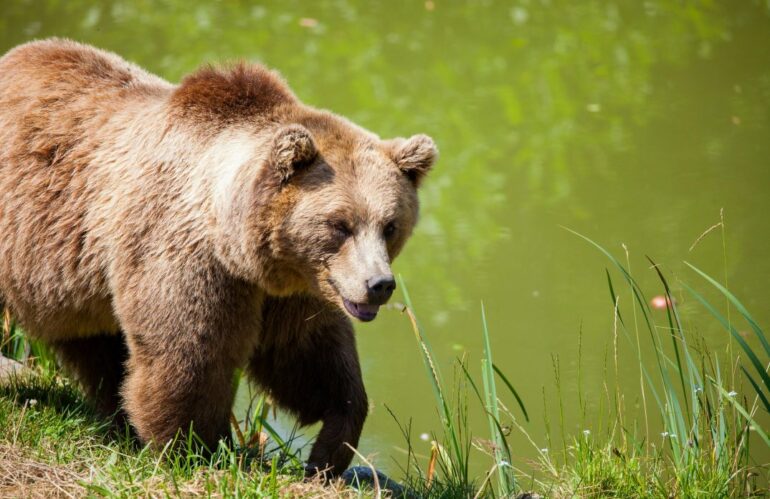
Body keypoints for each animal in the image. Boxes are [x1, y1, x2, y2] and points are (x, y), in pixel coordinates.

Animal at [0, 39, 432, 476]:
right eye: (339, 224)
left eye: (390, 225)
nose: (378, 284)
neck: (239, 245)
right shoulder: (187, 256)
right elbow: (190, 355)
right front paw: (197, 449)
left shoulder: (294, 288)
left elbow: (308, 357)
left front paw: (330, 448)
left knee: (93, 345)